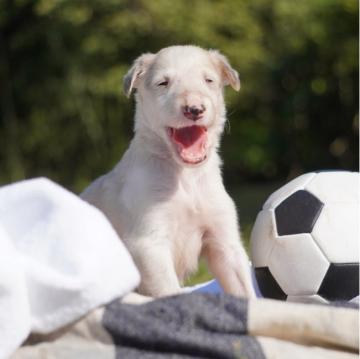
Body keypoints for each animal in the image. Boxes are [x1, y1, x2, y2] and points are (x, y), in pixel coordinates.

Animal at [81, 44, 256, 298]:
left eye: (209, 80)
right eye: (163, 83)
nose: (194, 109)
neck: (186, 177)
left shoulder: (224, 241)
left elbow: (245, 290)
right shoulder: (149, 245)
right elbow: (169, 292)